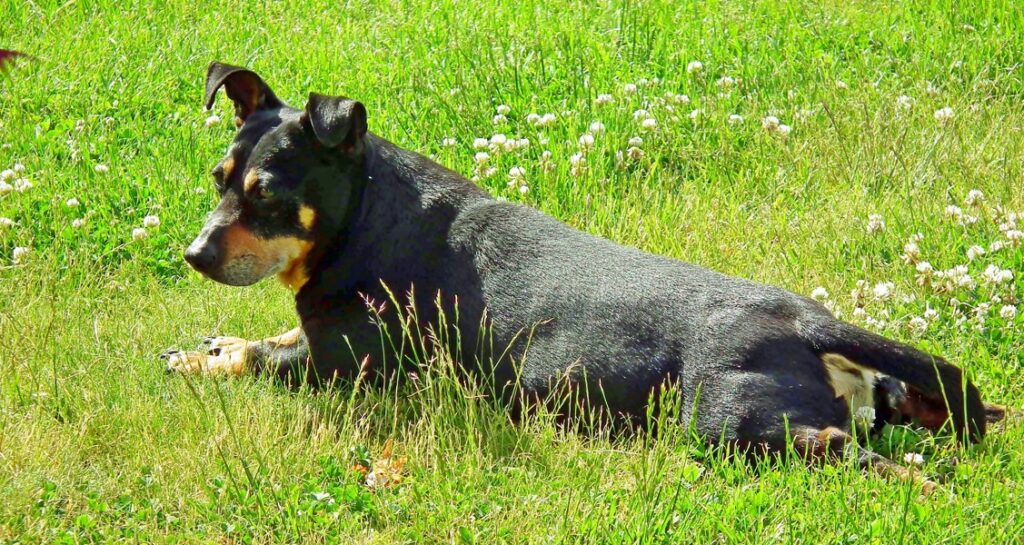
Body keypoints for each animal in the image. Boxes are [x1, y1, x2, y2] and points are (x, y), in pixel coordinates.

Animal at [163, 61, 1003, 491]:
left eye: (267, 195)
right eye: (218, 178)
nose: (195, 256)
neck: (364, 214)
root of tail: (806, 319)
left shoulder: (346, 363)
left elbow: (262, 356)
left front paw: (211, 358)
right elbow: (261, 337)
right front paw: (206, 345)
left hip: (730, 422)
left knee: (837, 447)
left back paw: (921, 487)